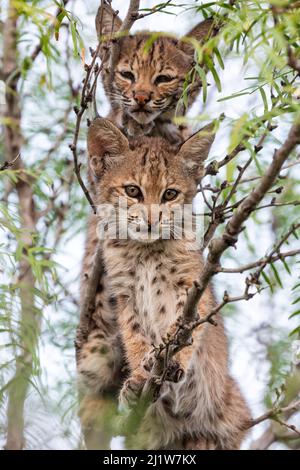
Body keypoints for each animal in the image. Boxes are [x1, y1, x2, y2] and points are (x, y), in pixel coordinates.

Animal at [82, 116, 251, 448]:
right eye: (132, 191)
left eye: (170, 195)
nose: (151, 221)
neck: (144, 249)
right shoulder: (125, 293)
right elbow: (134, 335)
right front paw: (138, 376)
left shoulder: (192, 285)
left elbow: (184, 327)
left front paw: (172, 360)